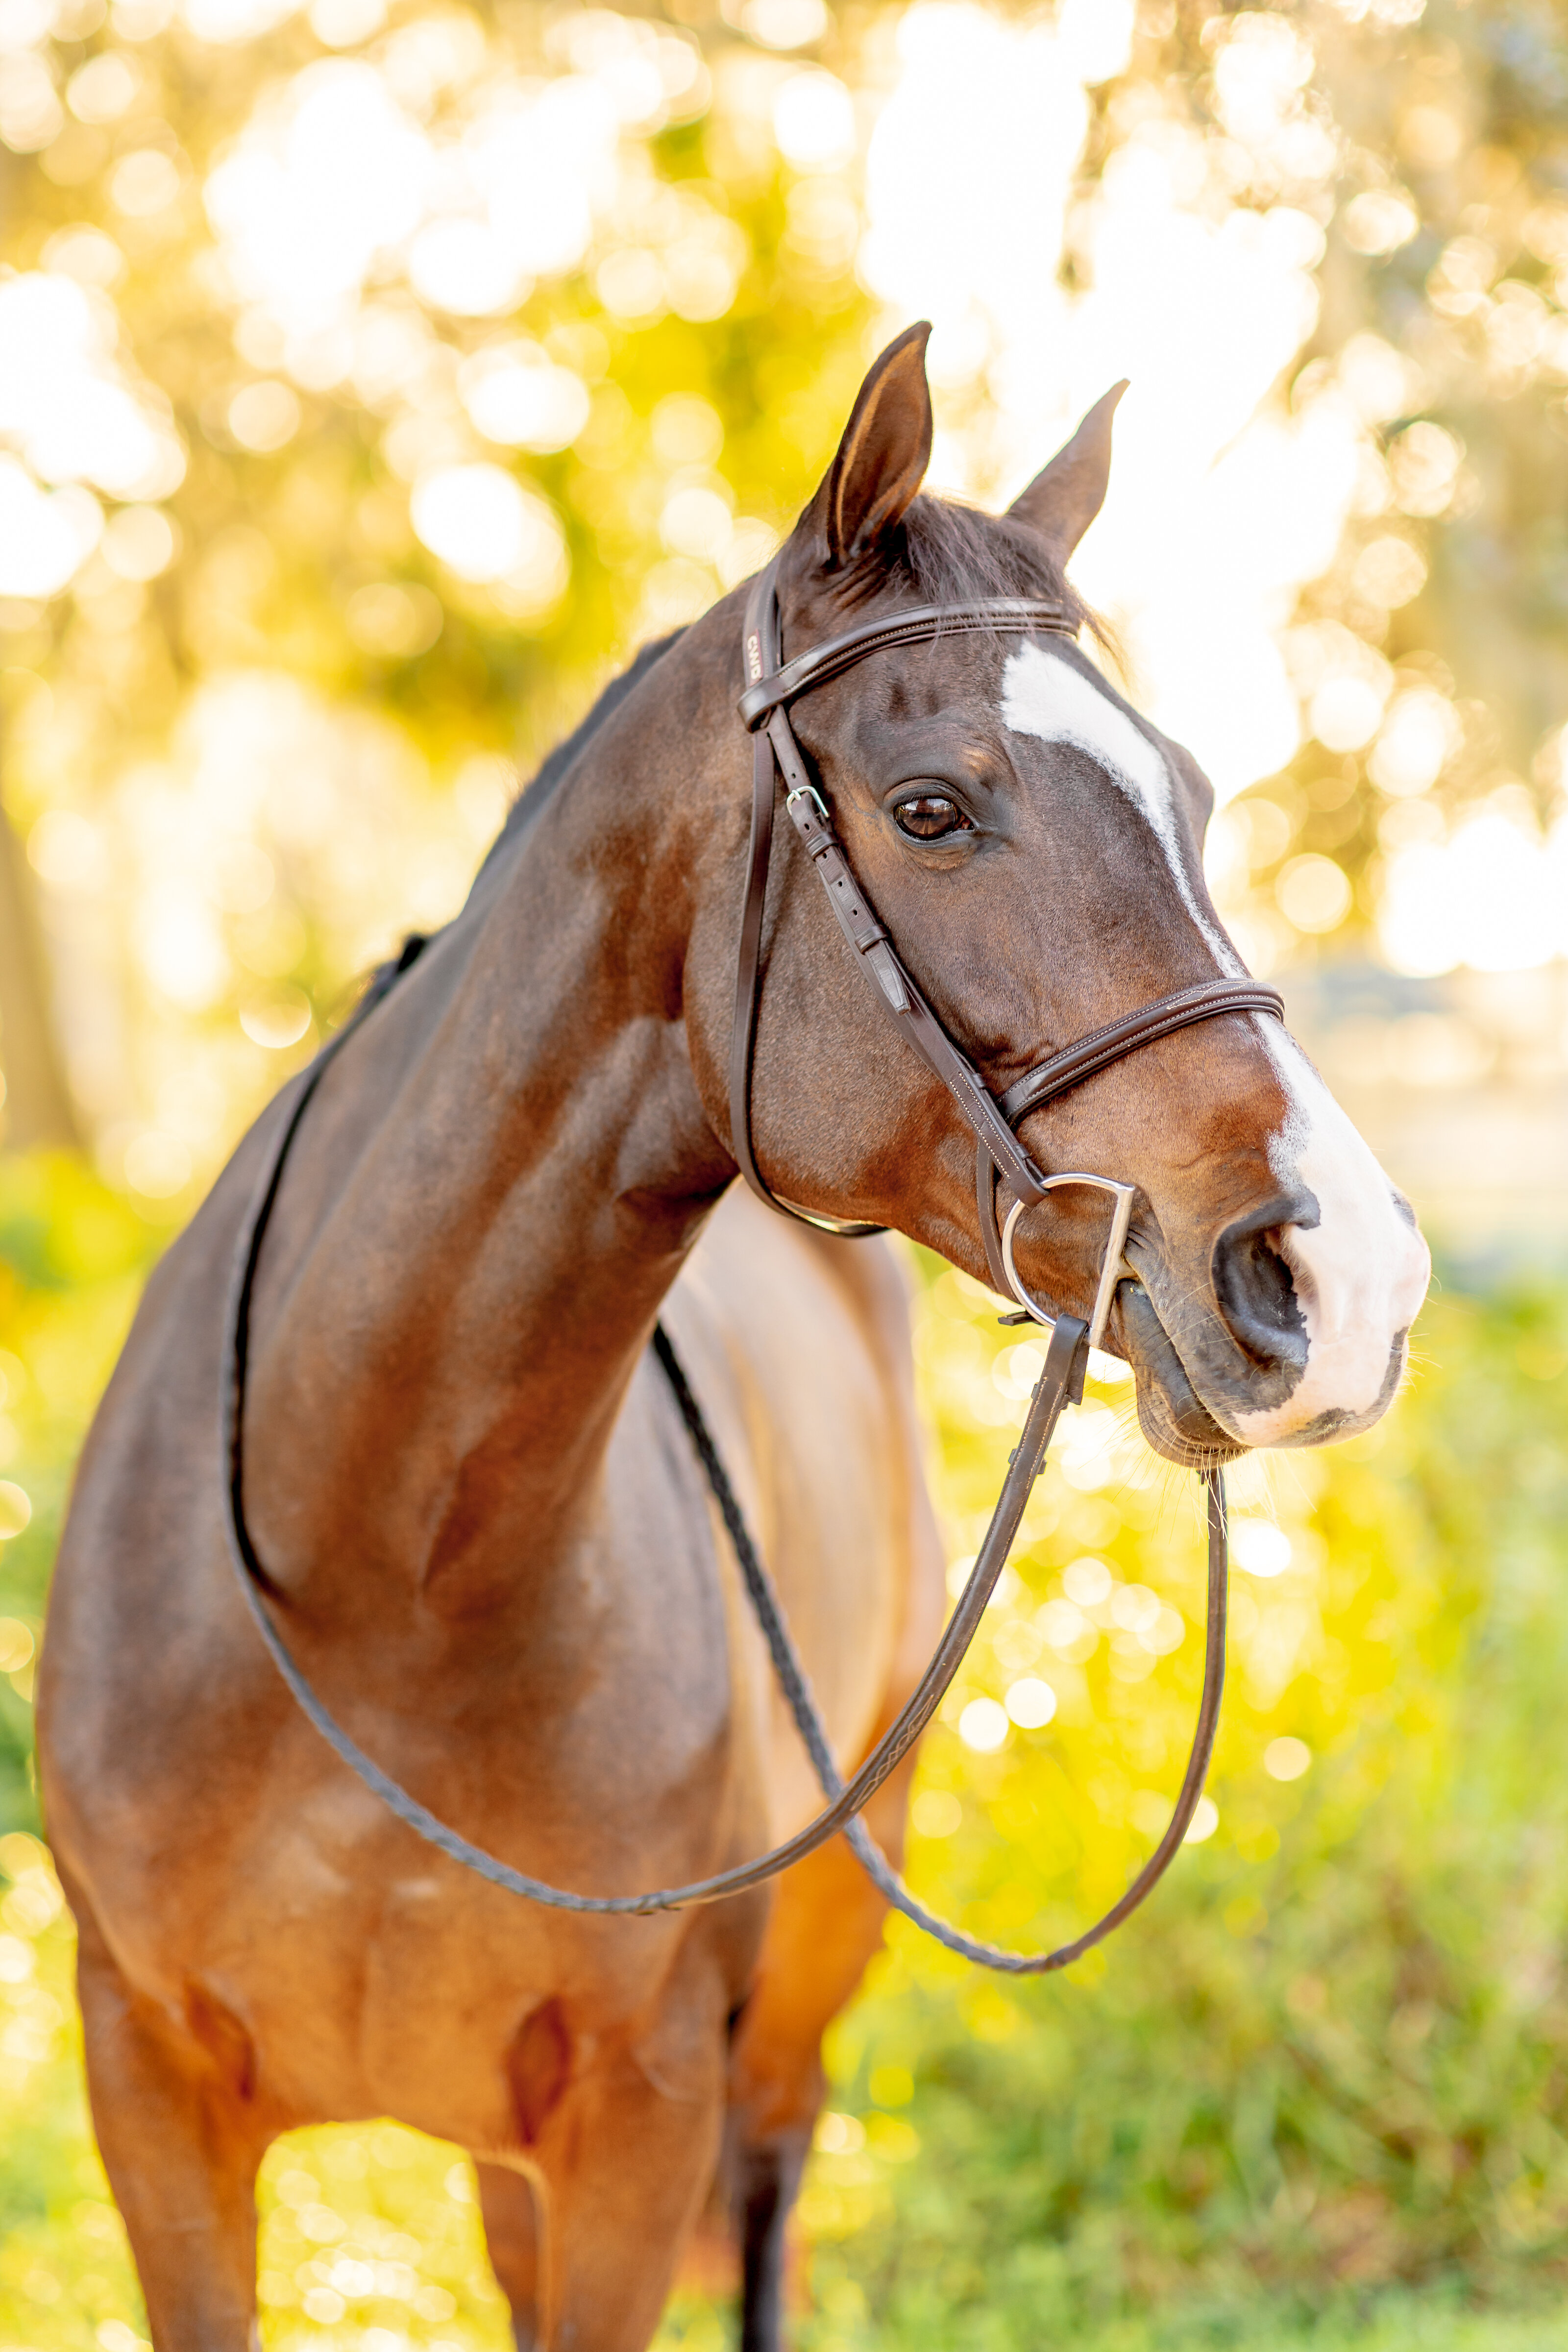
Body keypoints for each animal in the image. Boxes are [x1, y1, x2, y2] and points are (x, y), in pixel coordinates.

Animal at [37, 323, 1431, 2352]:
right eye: (930, 806)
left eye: (1187, 793)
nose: (1344, 1280)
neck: (372, 1571)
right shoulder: (152, 2098)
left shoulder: (640, 2116)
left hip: (794, 2004)